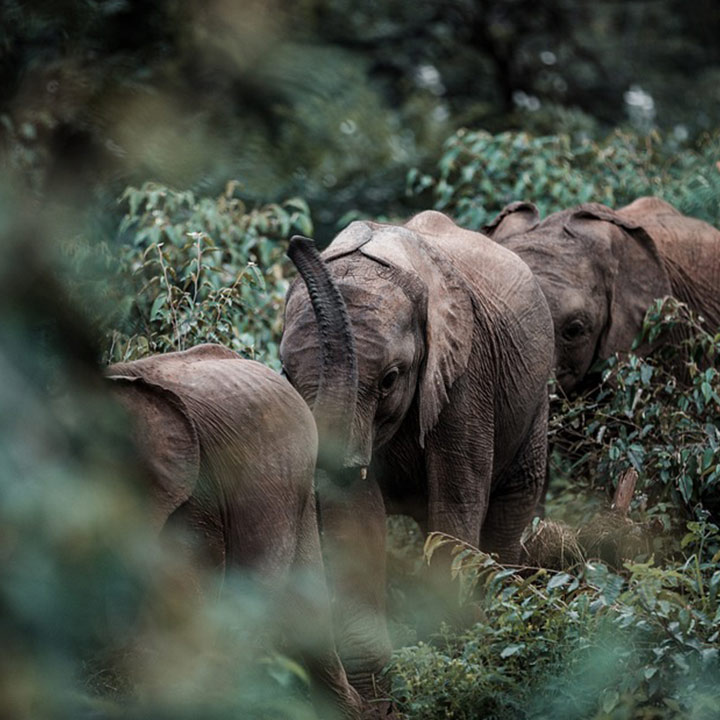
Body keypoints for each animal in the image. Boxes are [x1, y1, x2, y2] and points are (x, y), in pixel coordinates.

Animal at [278, 208, 556, 696]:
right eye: (285, 373)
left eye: (391, 378)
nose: (297, 241)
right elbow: (354, 511)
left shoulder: (467, 373)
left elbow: (457, 495)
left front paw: (453, 653)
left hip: (534, 399)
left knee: (513, 497)